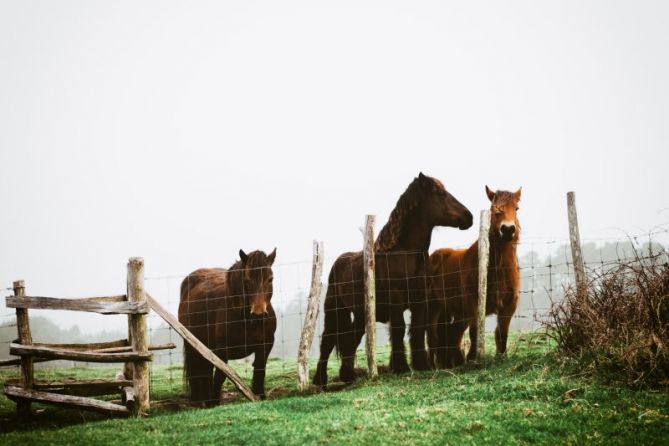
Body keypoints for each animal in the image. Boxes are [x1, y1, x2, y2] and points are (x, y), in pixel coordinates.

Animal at [177, 247, 276, 404]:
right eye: (246, 280)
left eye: (270, 279)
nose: (258, 314)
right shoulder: (222, 351)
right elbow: (220, 376)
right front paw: (213, 403)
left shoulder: (265, 346)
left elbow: (260, 371)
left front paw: (259, 396)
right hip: (193, 346)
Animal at [312, 172, 472, 388]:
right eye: (440, 193)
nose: (469, 217)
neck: (404, 255)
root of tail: (338, 262)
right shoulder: (396, 301)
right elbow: (399, 330)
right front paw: (402, 367)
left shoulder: (421, 300)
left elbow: (418, 329)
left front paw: (421, 365)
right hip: (334, 311)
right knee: (328, 341)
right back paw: (320, 380)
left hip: (361, 315)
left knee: (352, 339)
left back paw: (348, 375)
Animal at [428, 186, 520, 368]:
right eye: (494, 209)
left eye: (517, 208)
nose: (507, 229)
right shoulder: (474, 303)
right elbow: (475, 332)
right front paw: (473, 359)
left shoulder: (509, 303)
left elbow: (502, 332)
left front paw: (501, 357)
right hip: (434, 307)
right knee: (433, 336)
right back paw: (434, 366)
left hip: (455, 312)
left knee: (451, 334)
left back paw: (452, 362)